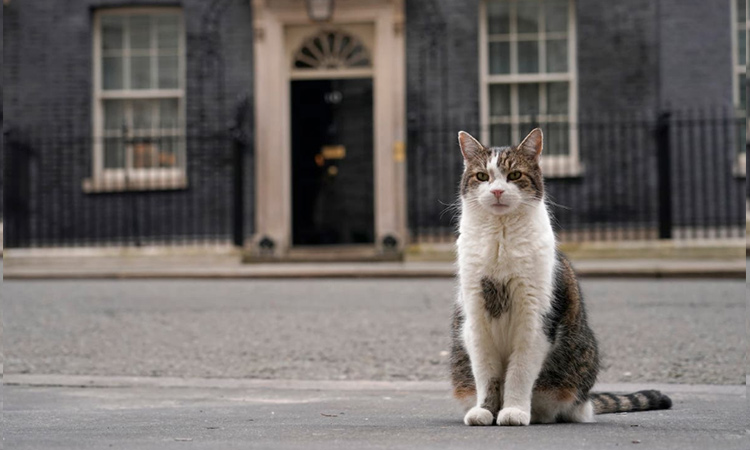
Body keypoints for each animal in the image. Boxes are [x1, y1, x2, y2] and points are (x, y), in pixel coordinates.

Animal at [450, 127, 672, 426]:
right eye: (482, 176)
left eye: (514, 175)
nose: (496, 191)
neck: (500, 238)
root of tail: (587, 401)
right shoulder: (476, 318)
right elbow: (487, 374)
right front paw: (485, 410)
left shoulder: (535, 319)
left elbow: (519, 372)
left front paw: (514, 410)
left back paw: (537, 413)